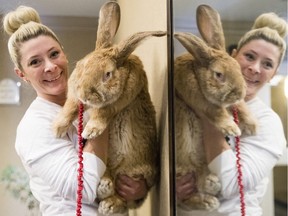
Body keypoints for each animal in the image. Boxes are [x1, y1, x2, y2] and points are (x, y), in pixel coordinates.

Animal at [53, 1, 165, 214]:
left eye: (107, 74)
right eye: (81, 65)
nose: (85, 93)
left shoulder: (119, 99)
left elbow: (102, 112)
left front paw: (91, 131)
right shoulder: (73, 96)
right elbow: (70, 107)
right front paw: (57, 128)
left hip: (136, 172)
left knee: (124, 200)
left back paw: (108, 202)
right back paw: (104, 186)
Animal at [173, 4, 256, 212]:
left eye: (238, 68)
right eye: (219, 75)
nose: (239, 92)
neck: (197, 72)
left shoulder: (233, 102)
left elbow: (240, 106)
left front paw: (252, 126)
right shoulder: (202, 102)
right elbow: (216, 112)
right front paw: (232, 128)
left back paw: (211, 188)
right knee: (185, 198)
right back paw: (209, 200)